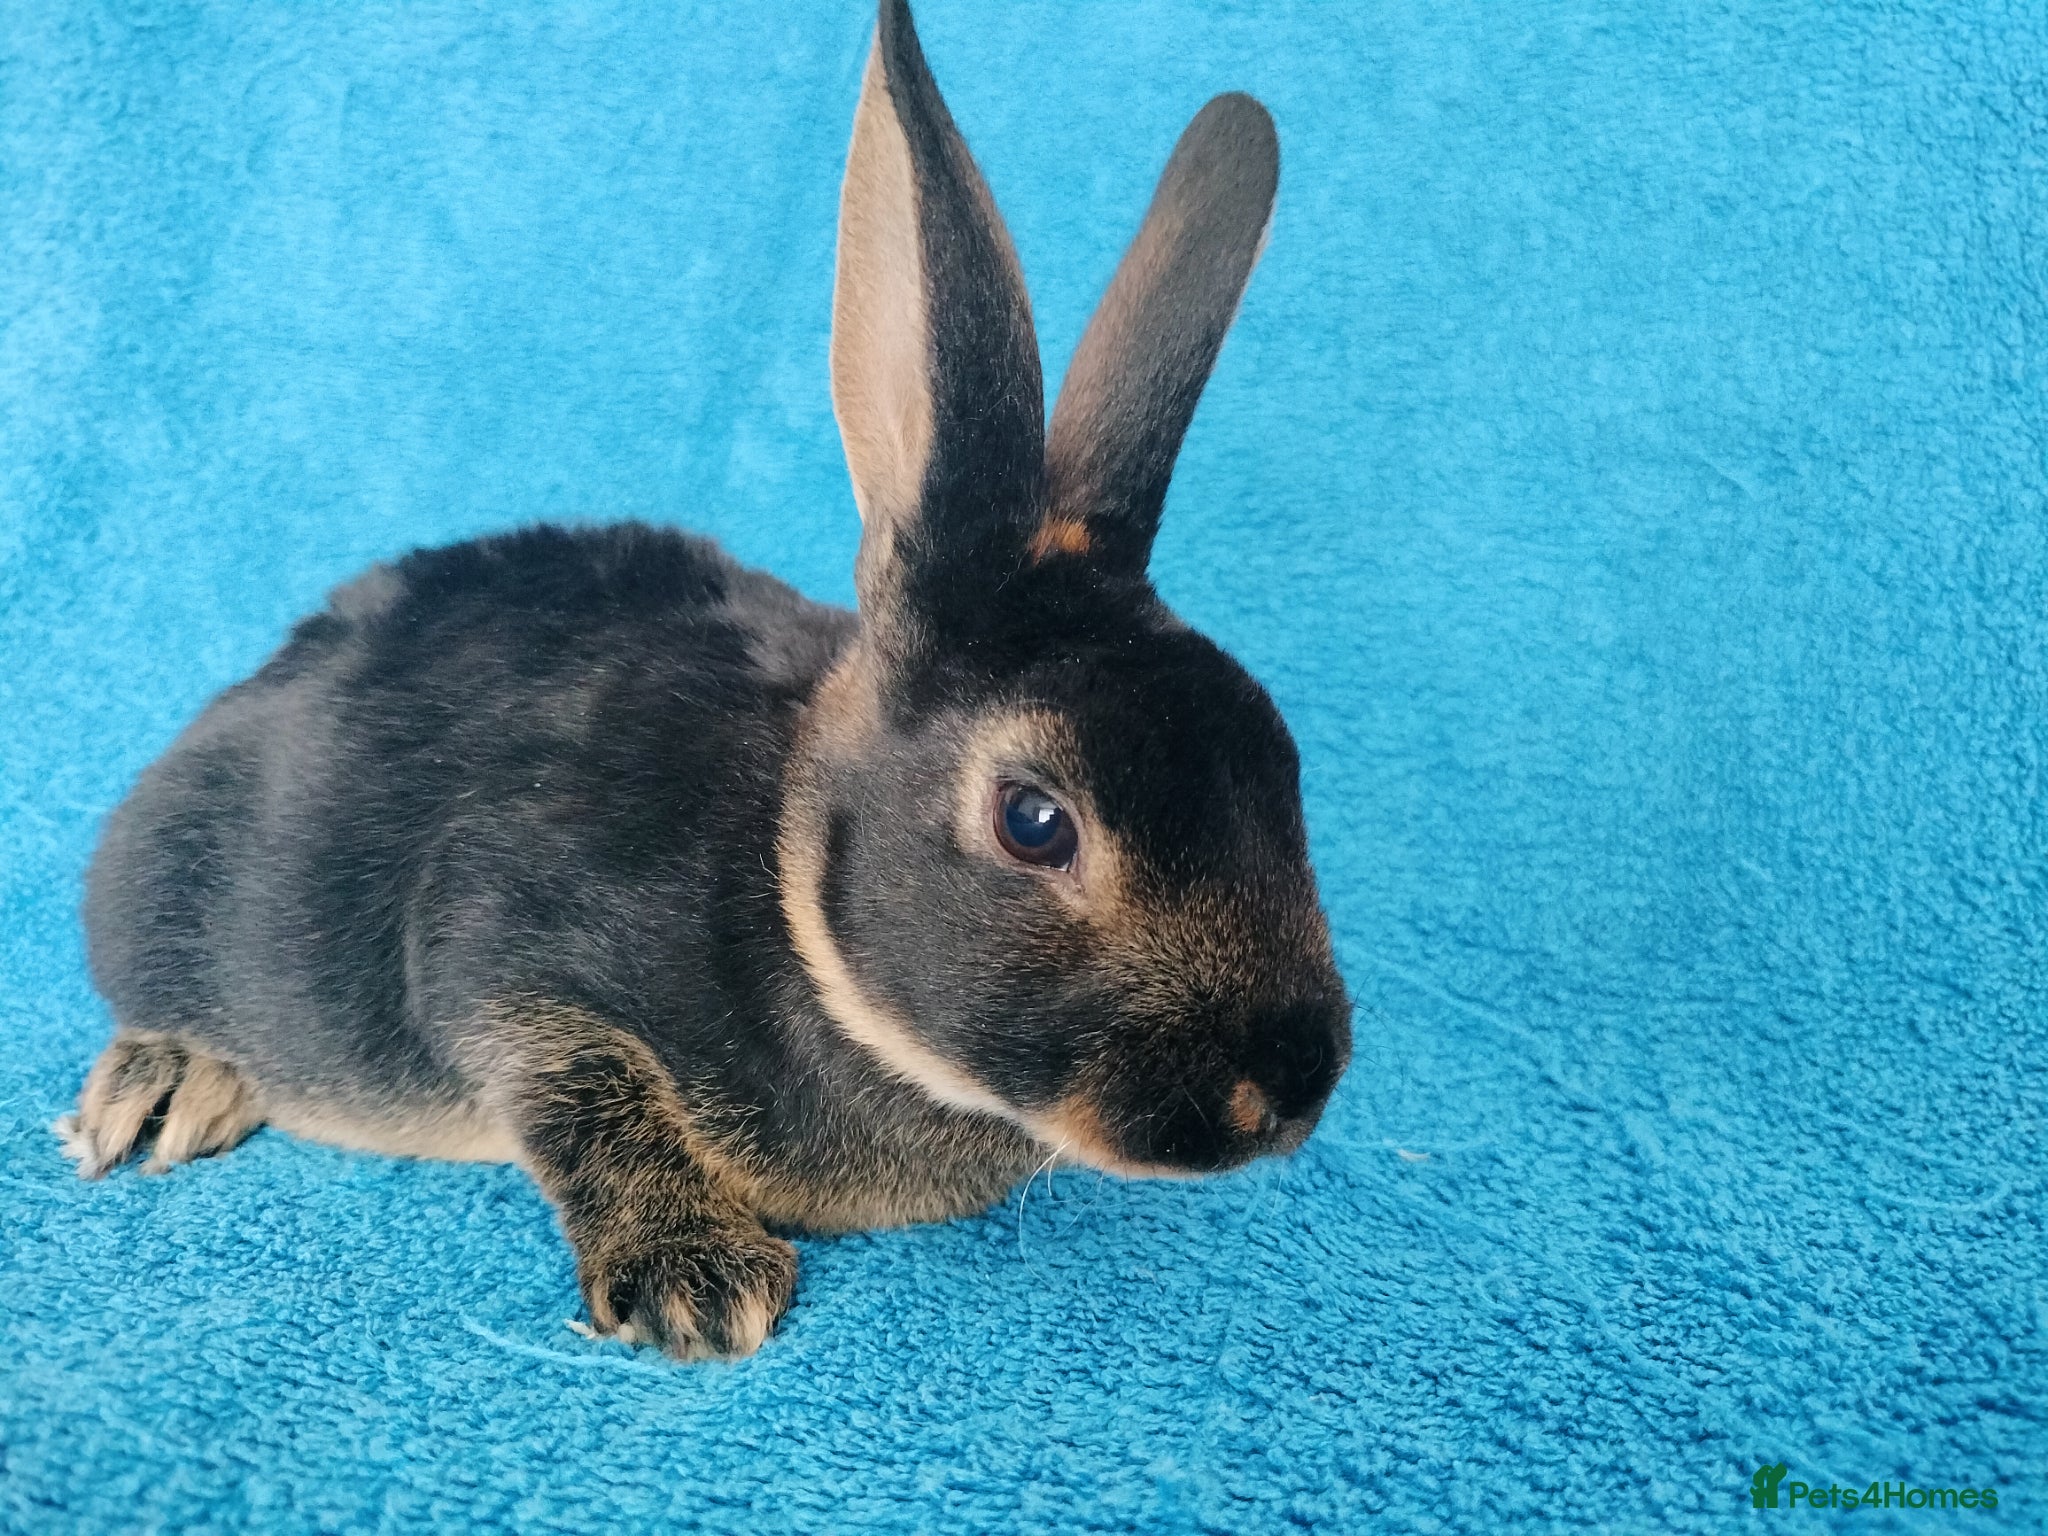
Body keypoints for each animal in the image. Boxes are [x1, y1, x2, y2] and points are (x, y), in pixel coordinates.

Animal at [58, 0, 1353, 1362]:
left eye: (1278, 753)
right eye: (1035, 822)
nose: (1287, 1089)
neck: (789, 891)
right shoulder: (500, 939)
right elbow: (570, 1079)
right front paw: (696, 1279)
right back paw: (162, 1088)